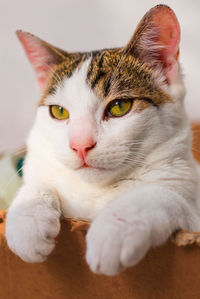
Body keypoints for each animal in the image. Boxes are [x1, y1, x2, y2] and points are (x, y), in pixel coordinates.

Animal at [4, 4, 200, 276]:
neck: (96, 192)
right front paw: (27, 220)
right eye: (59, 112)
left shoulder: (190, 205)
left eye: (119, 107)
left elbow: (158, 194)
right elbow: (38, 183)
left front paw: (114, 233)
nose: (80, 145)